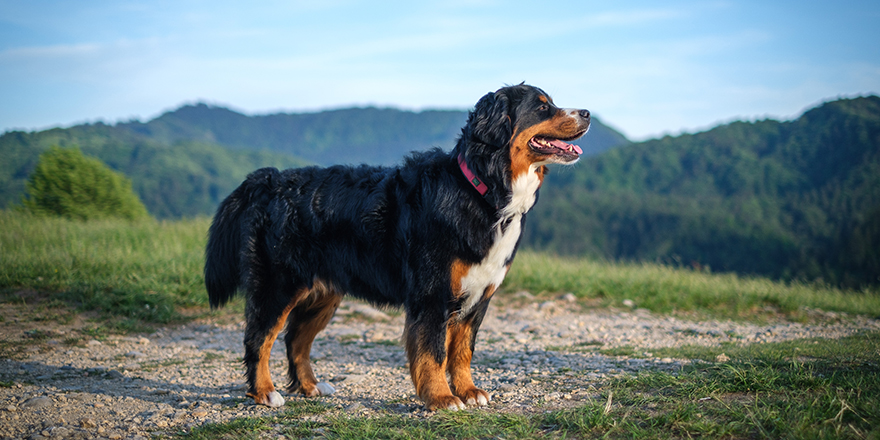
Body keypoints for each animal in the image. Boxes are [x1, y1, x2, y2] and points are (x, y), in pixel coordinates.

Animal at [205, 84, 592, 410]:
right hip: (278, 285)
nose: (587, 112)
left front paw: (468, 391)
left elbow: (462, 352)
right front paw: (442, 398)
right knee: (259, 339)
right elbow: (433, 352)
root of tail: (269, 179)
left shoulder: (478, 298)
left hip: (324, 293)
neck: (481, 191)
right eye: (542, 107)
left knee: (296, 339)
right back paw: (264, 392)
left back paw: (310, 386)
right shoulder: (432, 293)